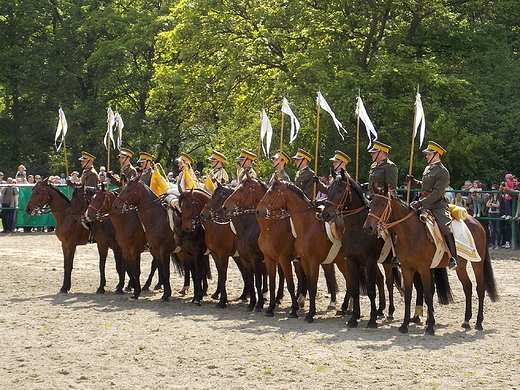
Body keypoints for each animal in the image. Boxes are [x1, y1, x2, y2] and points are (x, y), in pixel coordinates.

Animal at [256, 177, 350, 322]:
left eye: (271, 192)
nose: (258, 210)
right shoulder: (274, 259)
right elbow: (275, 283)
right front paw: (271, 308)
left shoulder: (303, 261)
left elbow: (303, 285)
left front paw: (302, 312)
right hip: (339, 261)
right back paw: (345, 307)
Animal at [322, 172, 400, 328]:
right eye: (329, 189)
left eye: (339, 190)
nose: (325, 214)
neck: (357, 229)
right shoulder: (352, 261)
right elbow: (355, 287)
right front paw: (354, 317)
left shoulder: (369, 261)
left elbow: (370, 290)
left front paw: (372, 319)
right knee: (381, 280)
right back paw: (381, 310)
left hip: (387, 262)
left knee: (389, 283)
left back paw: (390, 311)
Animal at [364, 184, 498, 334]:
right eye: (370, 204)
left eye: (382, 204)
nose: (368, 227)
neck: (411, 232)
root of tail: (477, 223)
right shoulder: (407, 268)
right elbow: (408, 294)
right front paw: (404, 325)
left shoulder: (423, 269)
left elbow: (428, 294)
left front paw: (430, 326)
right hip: (461, 265)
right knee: (467, 286)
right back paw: (466, 321)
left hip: (477, 263)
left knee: (480, 288)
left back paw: (479, 322)